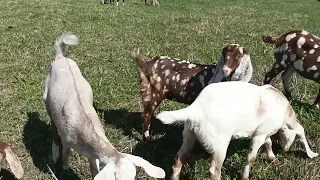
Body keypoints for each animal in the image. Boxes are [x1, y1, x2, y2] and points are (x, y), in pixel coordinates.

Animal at [43, 32, 166, 179]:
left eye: (134, 176)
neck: (85, 129)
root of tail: (61, 57)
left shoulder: (92, 154)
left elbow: (94, 169)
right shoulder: (67, 141)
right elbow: (65, 154)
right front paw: (65, 167)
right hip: (47, 99)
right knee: (53, 126)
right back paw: (55, 152)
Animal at [156, 81, 318, 180]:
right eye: (293, 137)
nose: (285, 149)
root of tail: (196, 108)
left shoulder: (262, 131)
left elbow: (268, 143)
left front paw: (273, 159)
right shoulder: (258, 136)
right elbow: (251, 157)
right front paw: (245, 176)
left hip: (189, 134)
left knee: (179, 158)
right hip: (219, 143)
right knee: (214, 170)